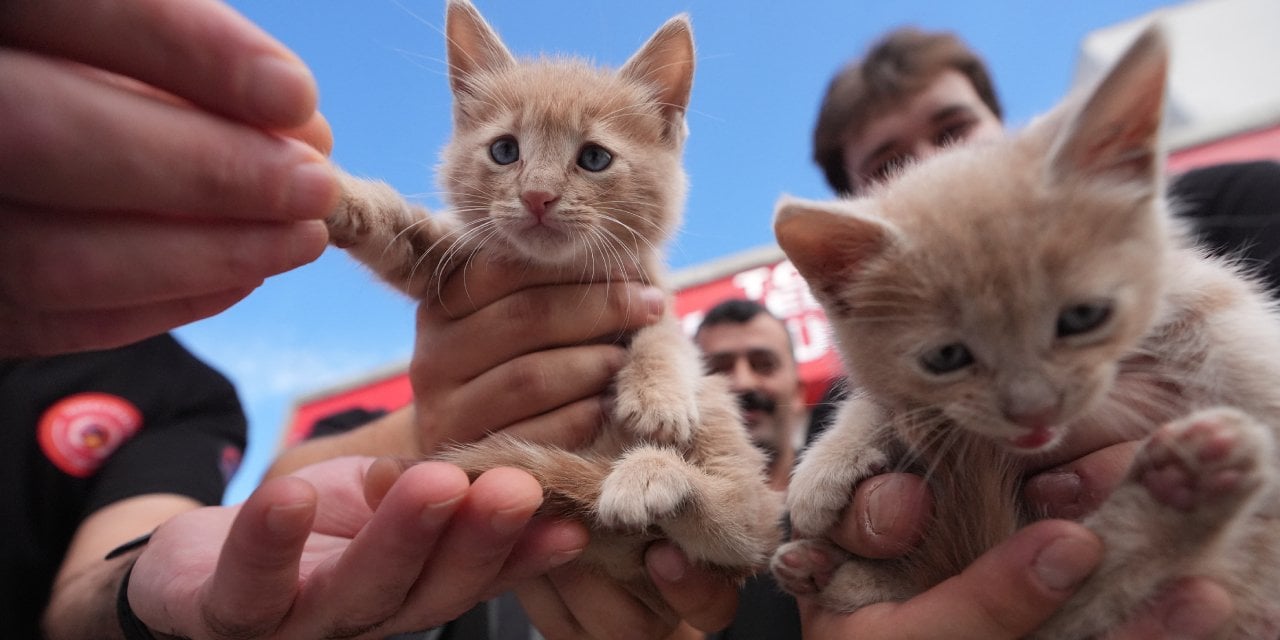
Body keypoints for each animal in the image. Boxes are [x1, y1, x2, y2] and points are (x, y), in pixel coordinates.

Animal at [322, 0, 778, 619]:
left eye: (594, 158)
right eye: (505, 150)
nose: (537, 196)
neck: (553, 269)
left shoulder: (652, 294)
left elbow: (663, 338)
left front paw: (656, 398)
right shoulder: (448, 266)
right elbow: (402, 233)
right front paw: (342, 196)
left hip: (733, 464)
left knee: (746, 522)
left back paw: (649, 476)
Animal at [768, 26, 1280, 640]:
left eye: (1083, 318)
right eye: (946, 356)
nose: (1034, 413)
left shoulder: (1206, 294)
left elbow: (1236, 340)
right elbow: (881, 396)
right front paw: (824, 467)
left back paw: (1191, 485)